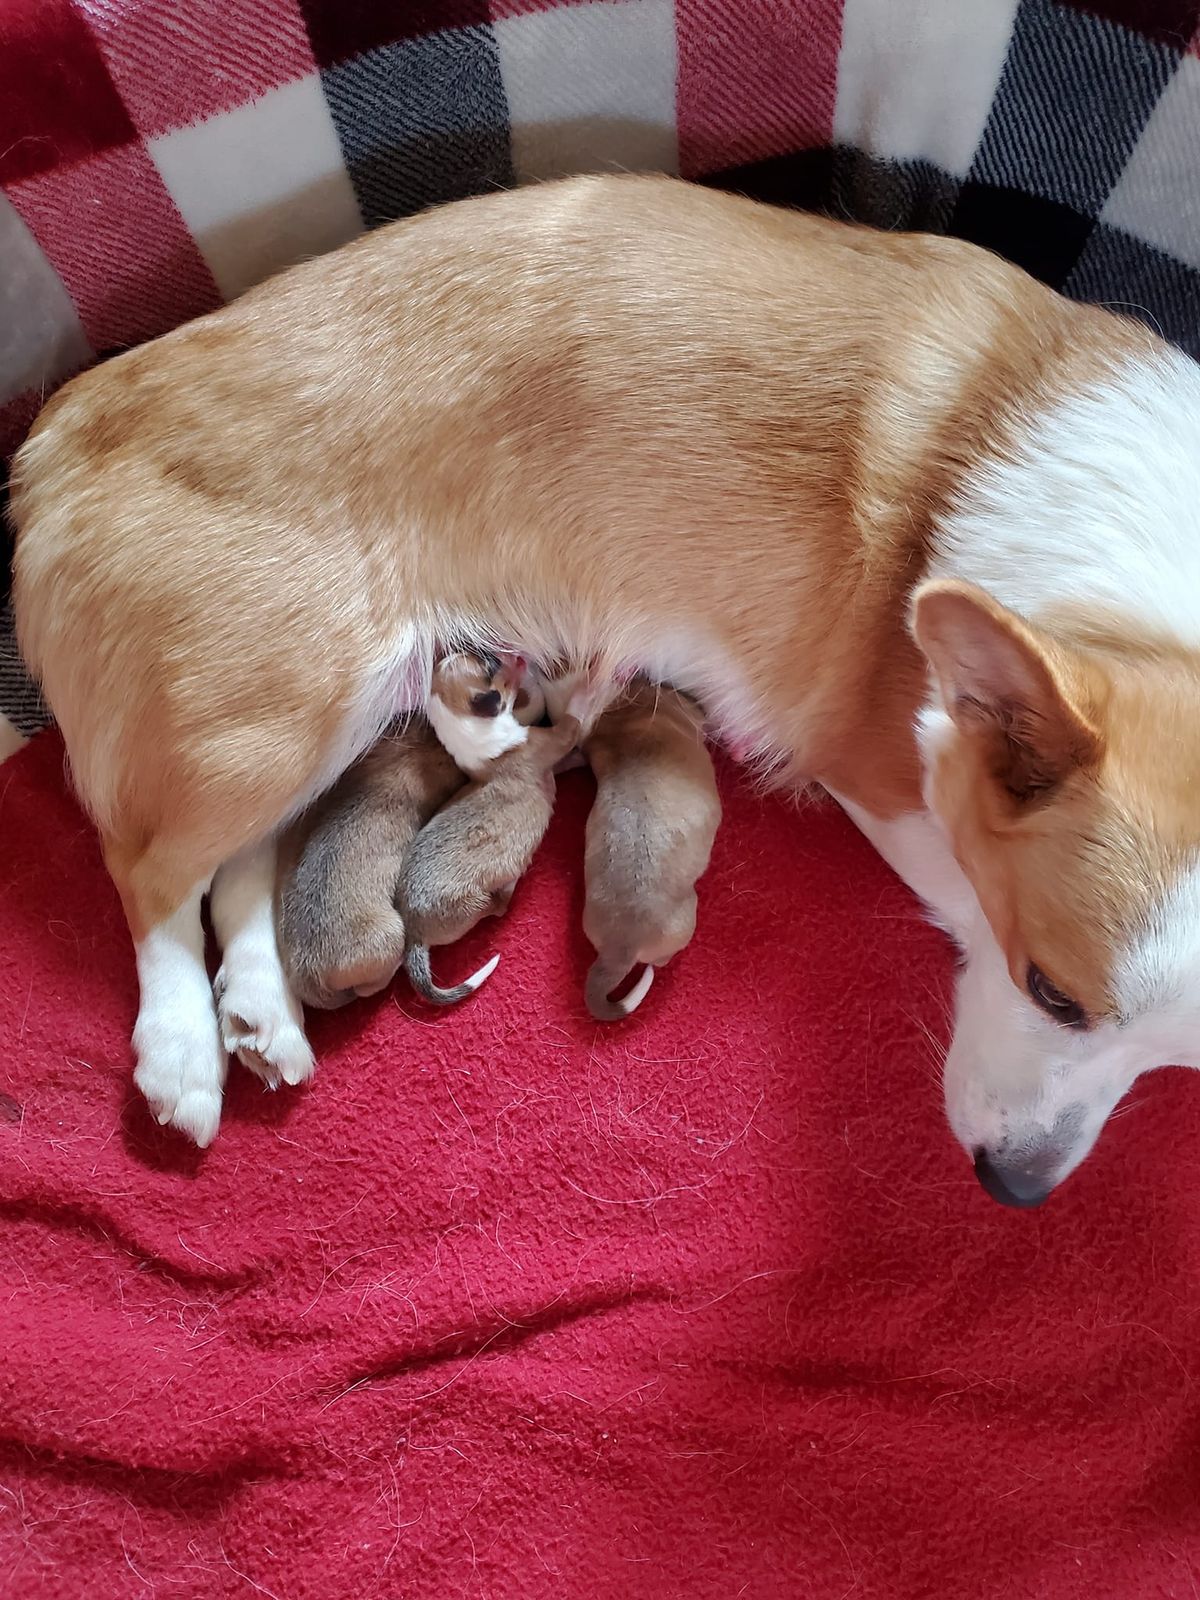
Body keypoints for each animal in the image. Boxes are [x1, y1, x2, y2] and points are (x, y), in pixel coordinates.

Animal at [400, 713, 582, 998]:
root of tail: (413, 933)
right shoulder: (548, 742)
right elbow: (569, 727)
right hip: (473, 902)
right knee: (499, 908)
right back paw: (509, 886)